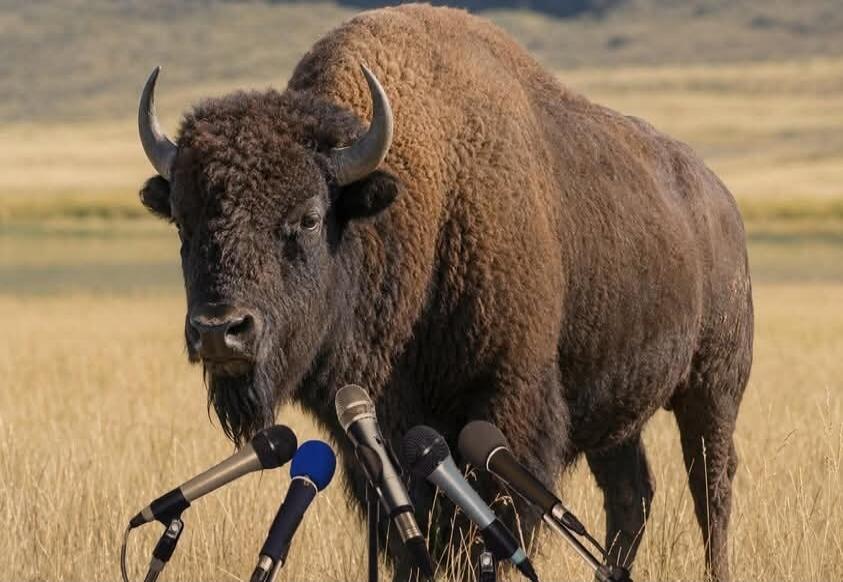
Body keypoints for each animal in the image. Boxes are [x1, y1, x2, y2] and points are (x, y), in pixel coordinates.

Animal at [136, 5, 753, 581]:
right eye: (183, 223)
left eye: (309, 217)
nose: (220, 331)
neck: (413, 208)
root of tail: (719, 198)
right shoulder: (373, 433)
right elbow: (412, 530)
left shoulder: (504, 407)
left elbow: (486, 522)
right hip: (615, 412)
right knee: (631, 494)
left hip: (713, 387)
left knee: (711, 486)